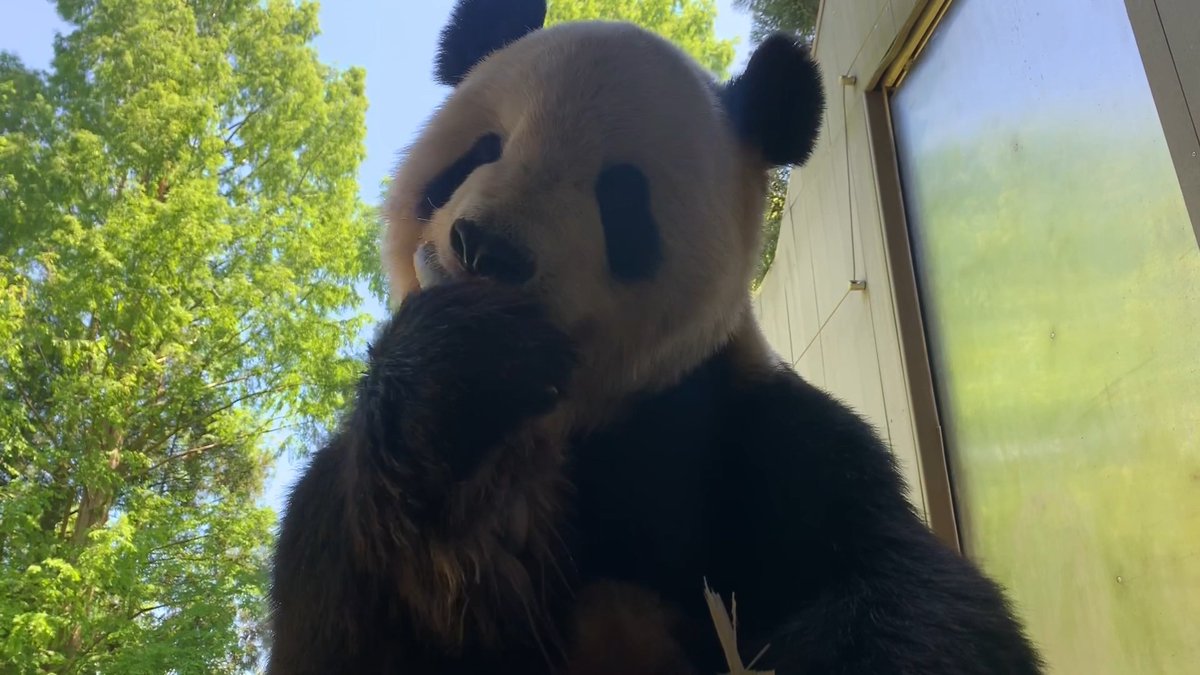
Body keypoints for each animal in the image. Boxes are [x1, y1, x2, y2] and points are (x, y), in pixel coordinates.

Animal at [267, 0, 1044, 673]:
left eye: (620, 198)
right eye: (483, 149)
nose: (486, 248)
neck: (570, 421)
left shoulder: (745, 430)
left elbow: (896, 583)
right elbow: (353, 609)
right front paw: (460, 366)